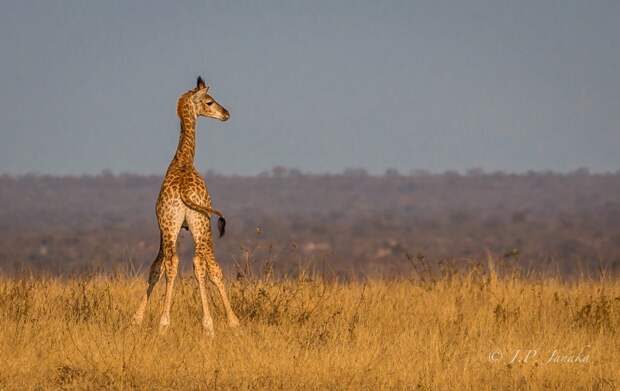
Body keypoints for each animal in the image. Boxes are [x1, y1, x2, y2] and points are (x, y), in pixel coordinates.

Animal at [133, 76, 240, 336]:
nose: (226, 114)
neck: (183, 160)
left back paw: (163, 323)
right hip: (201, 225)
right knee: (199, 264)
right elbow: (214, 270)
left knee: (172, 263)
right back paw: (208, 324)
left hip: (170, 225)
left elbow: (156, 268)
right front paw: (233, 322)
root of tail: (182, 191)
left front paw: (137, 319)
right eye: (209, 101)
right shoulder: (202, 224)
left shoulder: (163, 229)